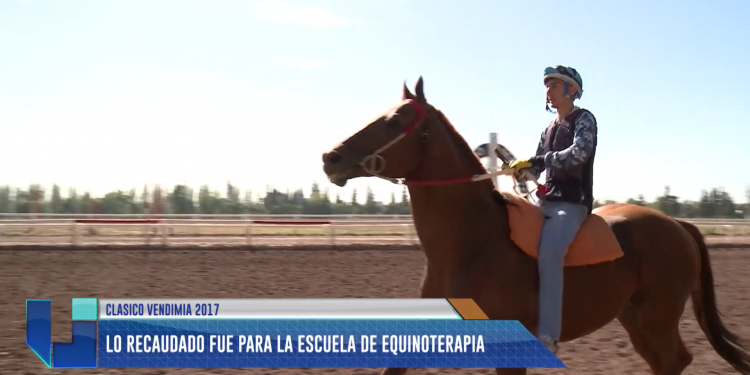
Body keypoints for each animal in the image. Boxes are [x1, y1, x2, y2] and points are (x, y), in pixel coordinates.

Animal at [320, 77, 748, 375]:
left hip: (656, 318)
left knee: (675, 359)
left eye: (394, 120)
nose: (330, 157)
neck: (472, 244)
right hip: (636, 320)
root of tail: (676, 223)